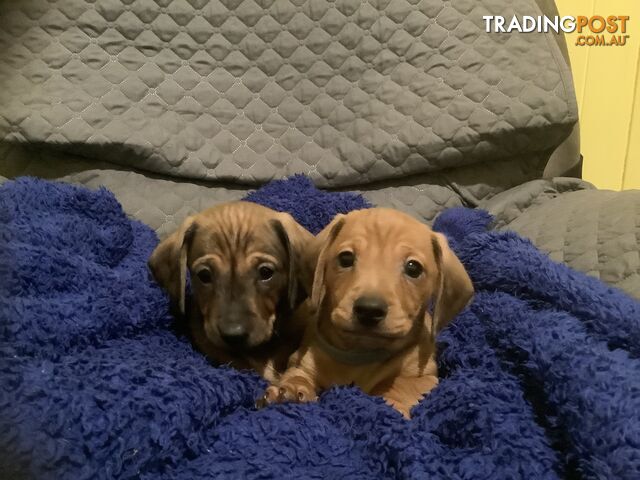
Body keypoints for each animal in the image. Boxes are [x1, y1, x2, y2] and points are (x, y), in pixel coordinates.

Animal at [260, 208, 476, 418]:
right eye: (346, 258)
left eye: (413, 268)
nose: (369, 310)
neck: (359, 355)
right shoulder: (301, 361)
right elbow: (297, 375)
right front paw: (291, 390)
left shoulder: (426, 377)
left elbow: (403, 385)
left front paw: (389, 405)